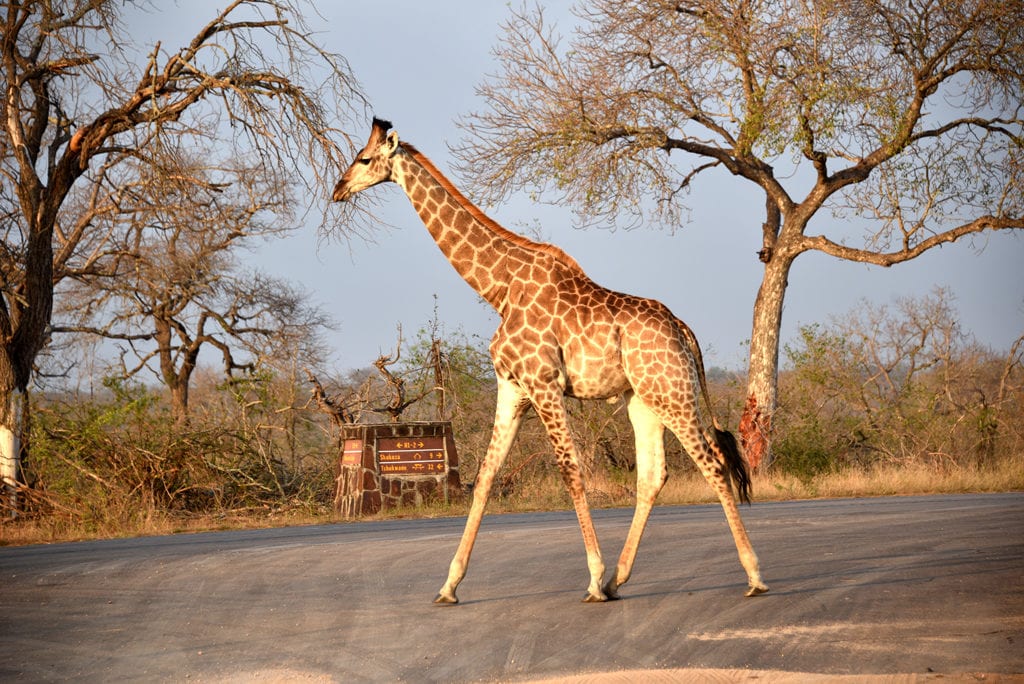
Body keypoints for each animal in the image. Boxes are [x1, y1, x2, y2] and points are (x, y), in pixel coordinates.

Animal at [333, 118, 768, 604]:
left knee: (713, 464)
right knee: (653, 476)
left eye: (364, 159)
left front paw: (593, 577)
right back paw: (620, 579)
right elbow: (487, 475)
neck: (499, 288)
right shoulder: (513, 387)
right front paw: (449, 585)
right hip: (643, 399)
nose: (338, 189)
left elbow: (570, 472)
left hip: (672, 392)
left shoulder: (543, 383)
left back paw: (752, 575)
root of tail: (683, 331)